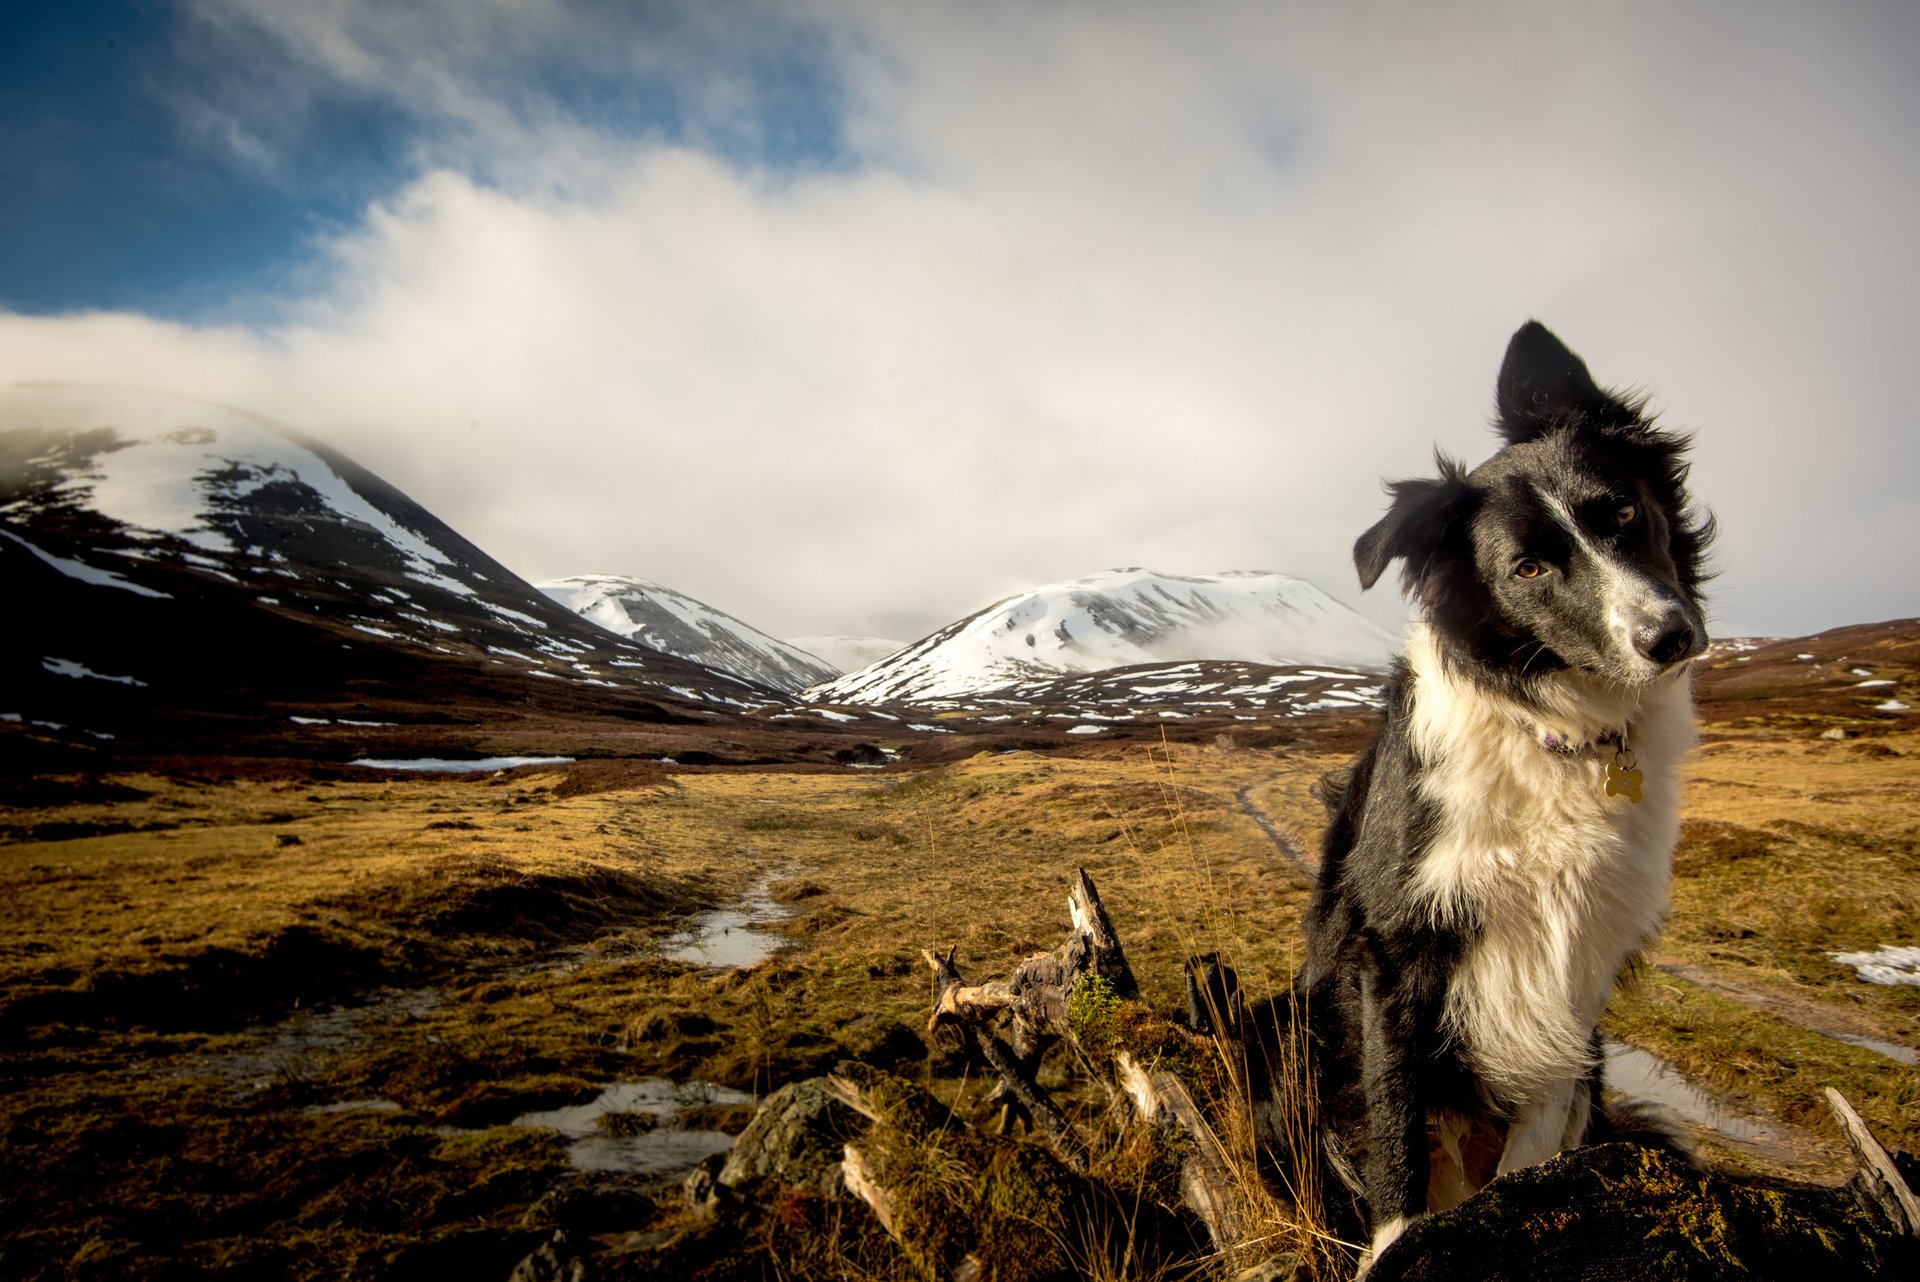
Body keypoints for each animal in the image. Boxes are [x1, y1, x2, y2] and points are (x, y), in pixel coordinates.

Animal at [1297, 322, 1720, 1274]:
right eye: (1527, 567)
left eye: (1622, 513)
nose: (1671, 636)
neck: (1557, 735)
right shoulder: (1395, 947)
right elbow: (1396, 1132)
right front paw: (1393, 1249)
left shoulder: (1584, 955)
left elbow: (1537, 1132)